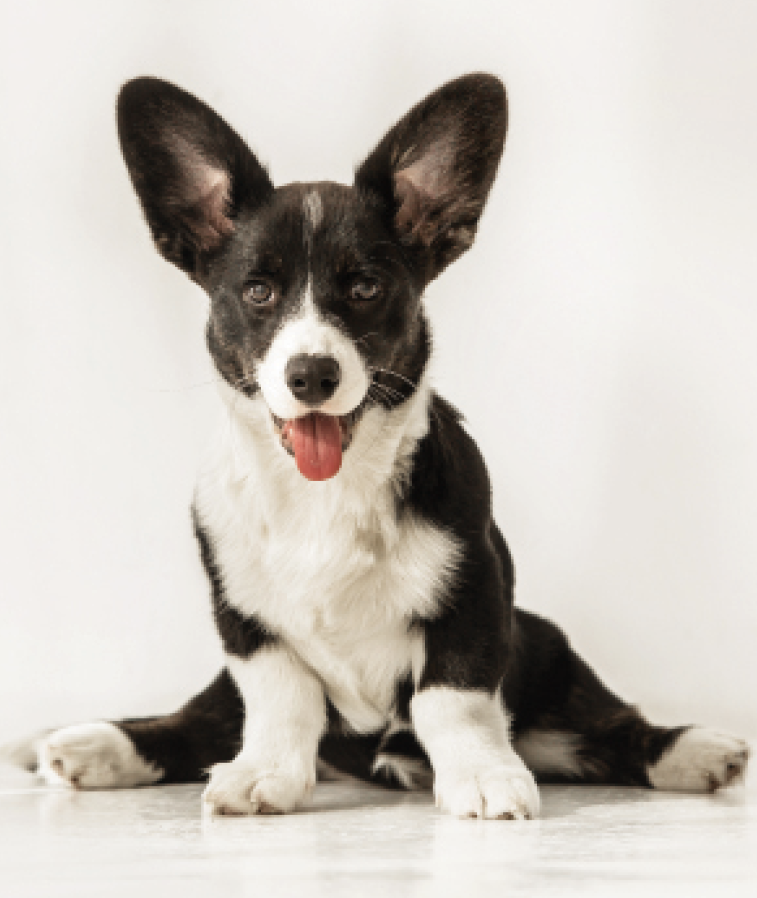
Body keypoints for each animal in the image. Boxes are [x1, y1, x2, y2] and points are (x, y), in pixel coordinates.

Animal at [27, 74, 748, 819]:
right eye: (257, 291)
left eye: (365, 287)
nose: (311, 375)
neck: (324, 492)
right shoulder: (245, 623)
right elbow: (280, 699)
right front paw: (265, 773)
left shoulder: (473, 597)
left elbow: (452, 701)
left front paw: (482, 775)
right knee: (197, 722)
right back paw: (92, 746)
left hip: (548, 651)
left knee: (608, 731)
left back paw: (696, 752)